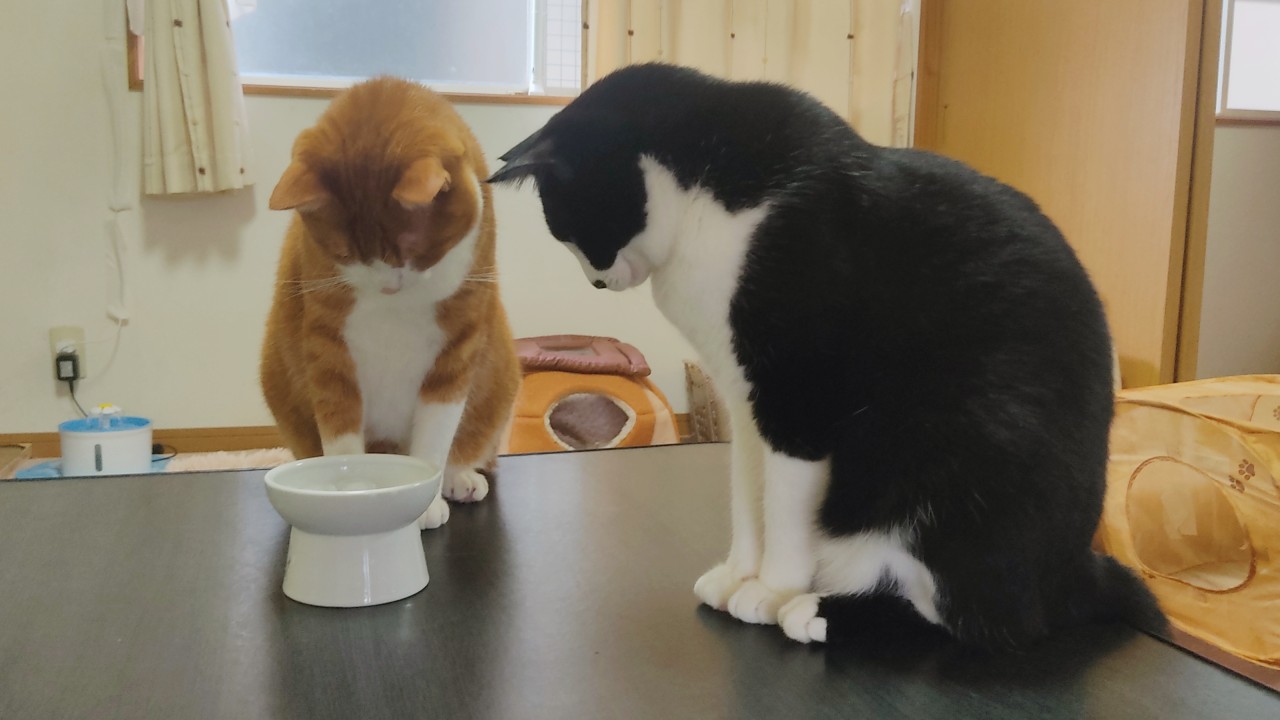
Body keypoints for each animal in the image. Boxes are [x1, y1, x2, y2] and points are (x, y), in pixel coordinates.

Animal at [261, 76, 520, 529]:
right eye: (344, 253)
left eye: (411, 252)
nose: (387, 286)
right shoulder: (327, 344)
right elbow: (340, 430)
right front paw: (350, 491)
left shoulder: (460, 339)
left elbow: (437, 431)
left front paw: (426, 501)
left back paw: (460, 478)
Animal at [489, 64, 1165, 648]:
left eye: (571, 225)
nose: (598, 282)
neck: (706, 203)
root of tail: (1076, 574)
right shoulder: (744, 396)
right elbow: (749, 495)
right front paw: (740, 573)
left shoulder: (797, 393)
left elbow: (786, 508)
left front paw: (771, 589)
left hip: (956, 461)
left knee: (977, 619)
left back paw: (816, 610)